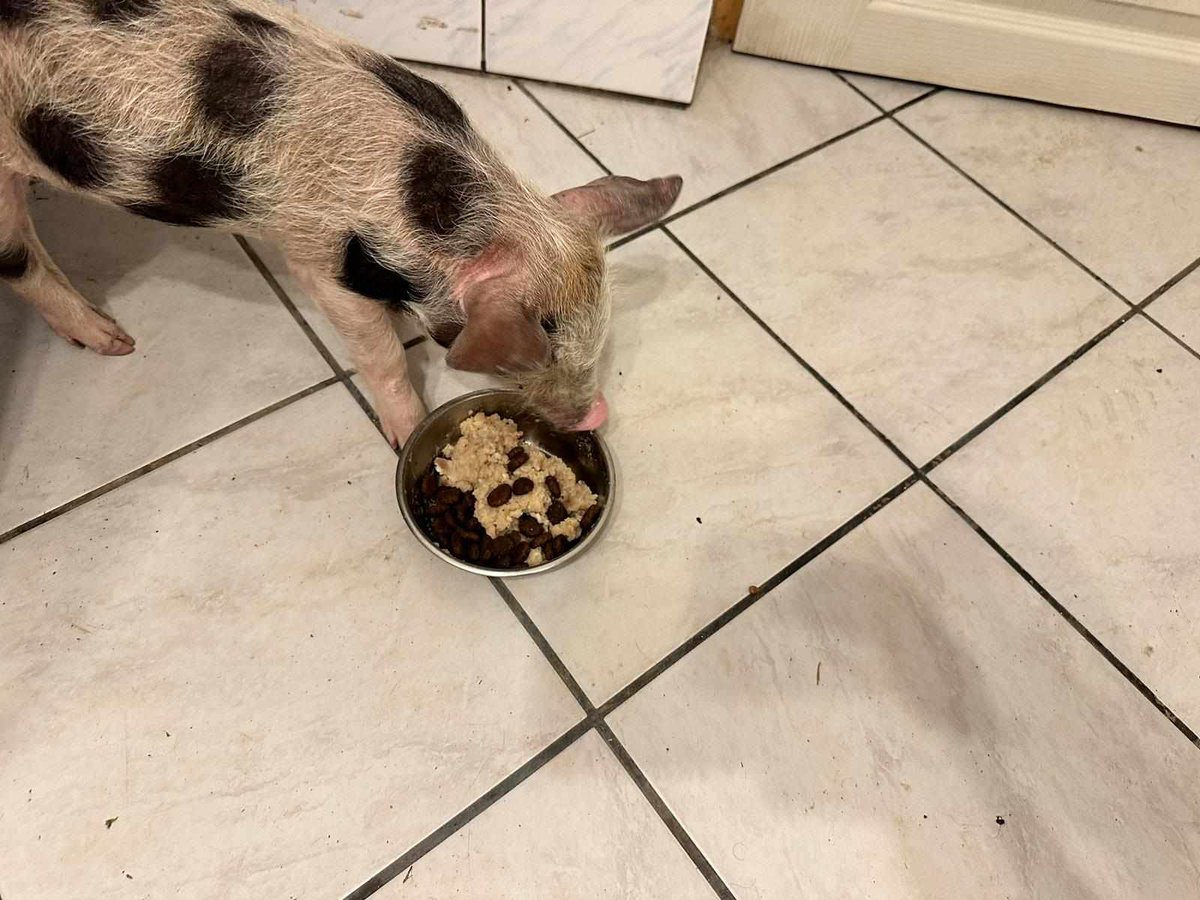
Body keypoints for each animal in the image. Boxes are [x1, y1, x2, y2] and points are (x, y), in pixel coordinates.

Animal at [0, 0, 682, 445]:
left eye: (599, 341)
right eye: (530, 357)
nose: (595, 416)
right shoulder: (320, 258)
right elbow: (379, 352)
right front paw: (405, 434)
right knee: (19, 263)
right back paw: (115, 342)